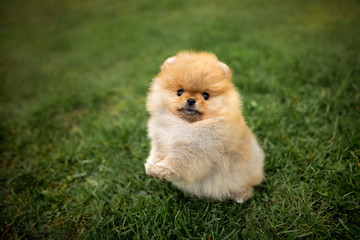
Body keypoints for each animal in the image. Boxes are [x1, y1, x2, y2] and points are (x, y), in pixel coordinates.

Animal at [143, 51, 264, 202]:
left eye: (205, 95)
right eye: (179, 92)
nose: (191, 100)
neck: (184, 124)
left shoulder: (196, 150)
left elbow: (176, 162)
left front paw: (159, 169)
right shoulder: (159, 138)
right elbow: (156, 152)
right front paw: (150, 165)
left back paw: (240, 196)